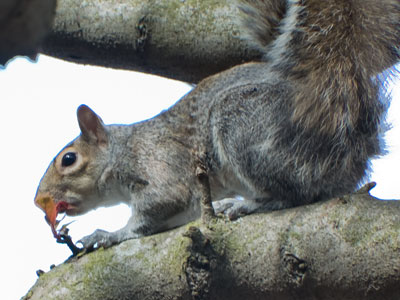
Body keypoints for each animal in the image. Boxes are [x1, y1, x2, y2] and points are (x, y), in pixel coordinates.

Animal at [34, 0, 400, 250]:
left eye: (69, 159)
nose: (40, 202)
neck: (122, 148)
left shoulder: (157, 163)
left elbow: (156, 206)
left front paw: (109, 234)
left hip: (243, 124)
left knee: (294, 194)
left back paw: (247, 204)